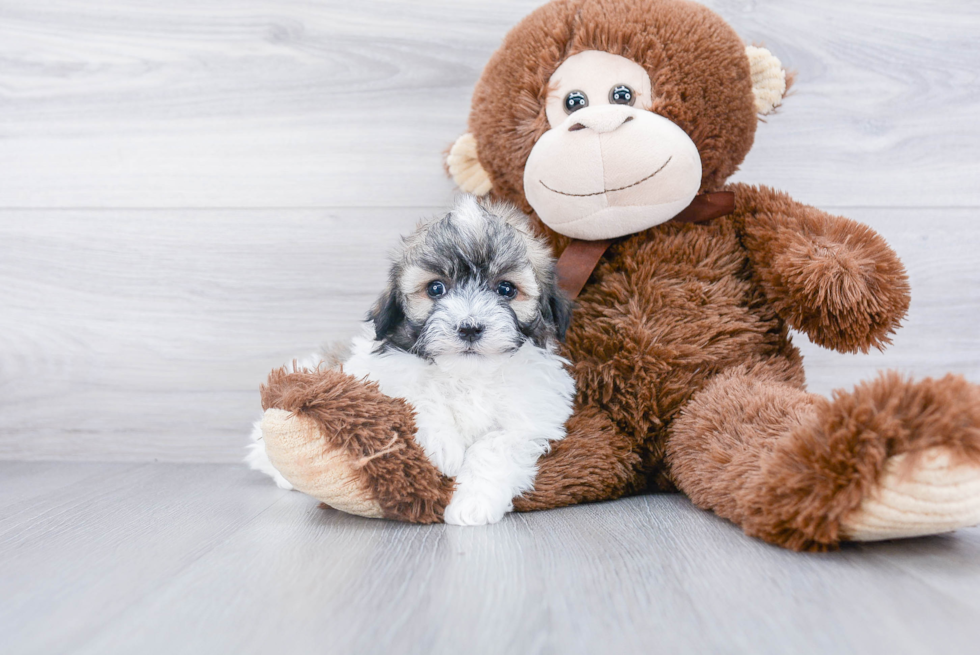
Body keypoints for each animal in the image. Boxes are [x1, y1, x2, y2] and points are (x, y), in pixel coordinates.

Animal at [245, 195, 580, 528]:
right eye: (436, 288)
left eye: (506, 289)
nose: (469, 328)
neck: (467, 374)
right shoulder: (378, 372)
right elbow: (417, 393)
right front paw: (444, 448)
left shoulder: (532, 413)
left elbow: (496, 445)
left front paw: (472, 504)